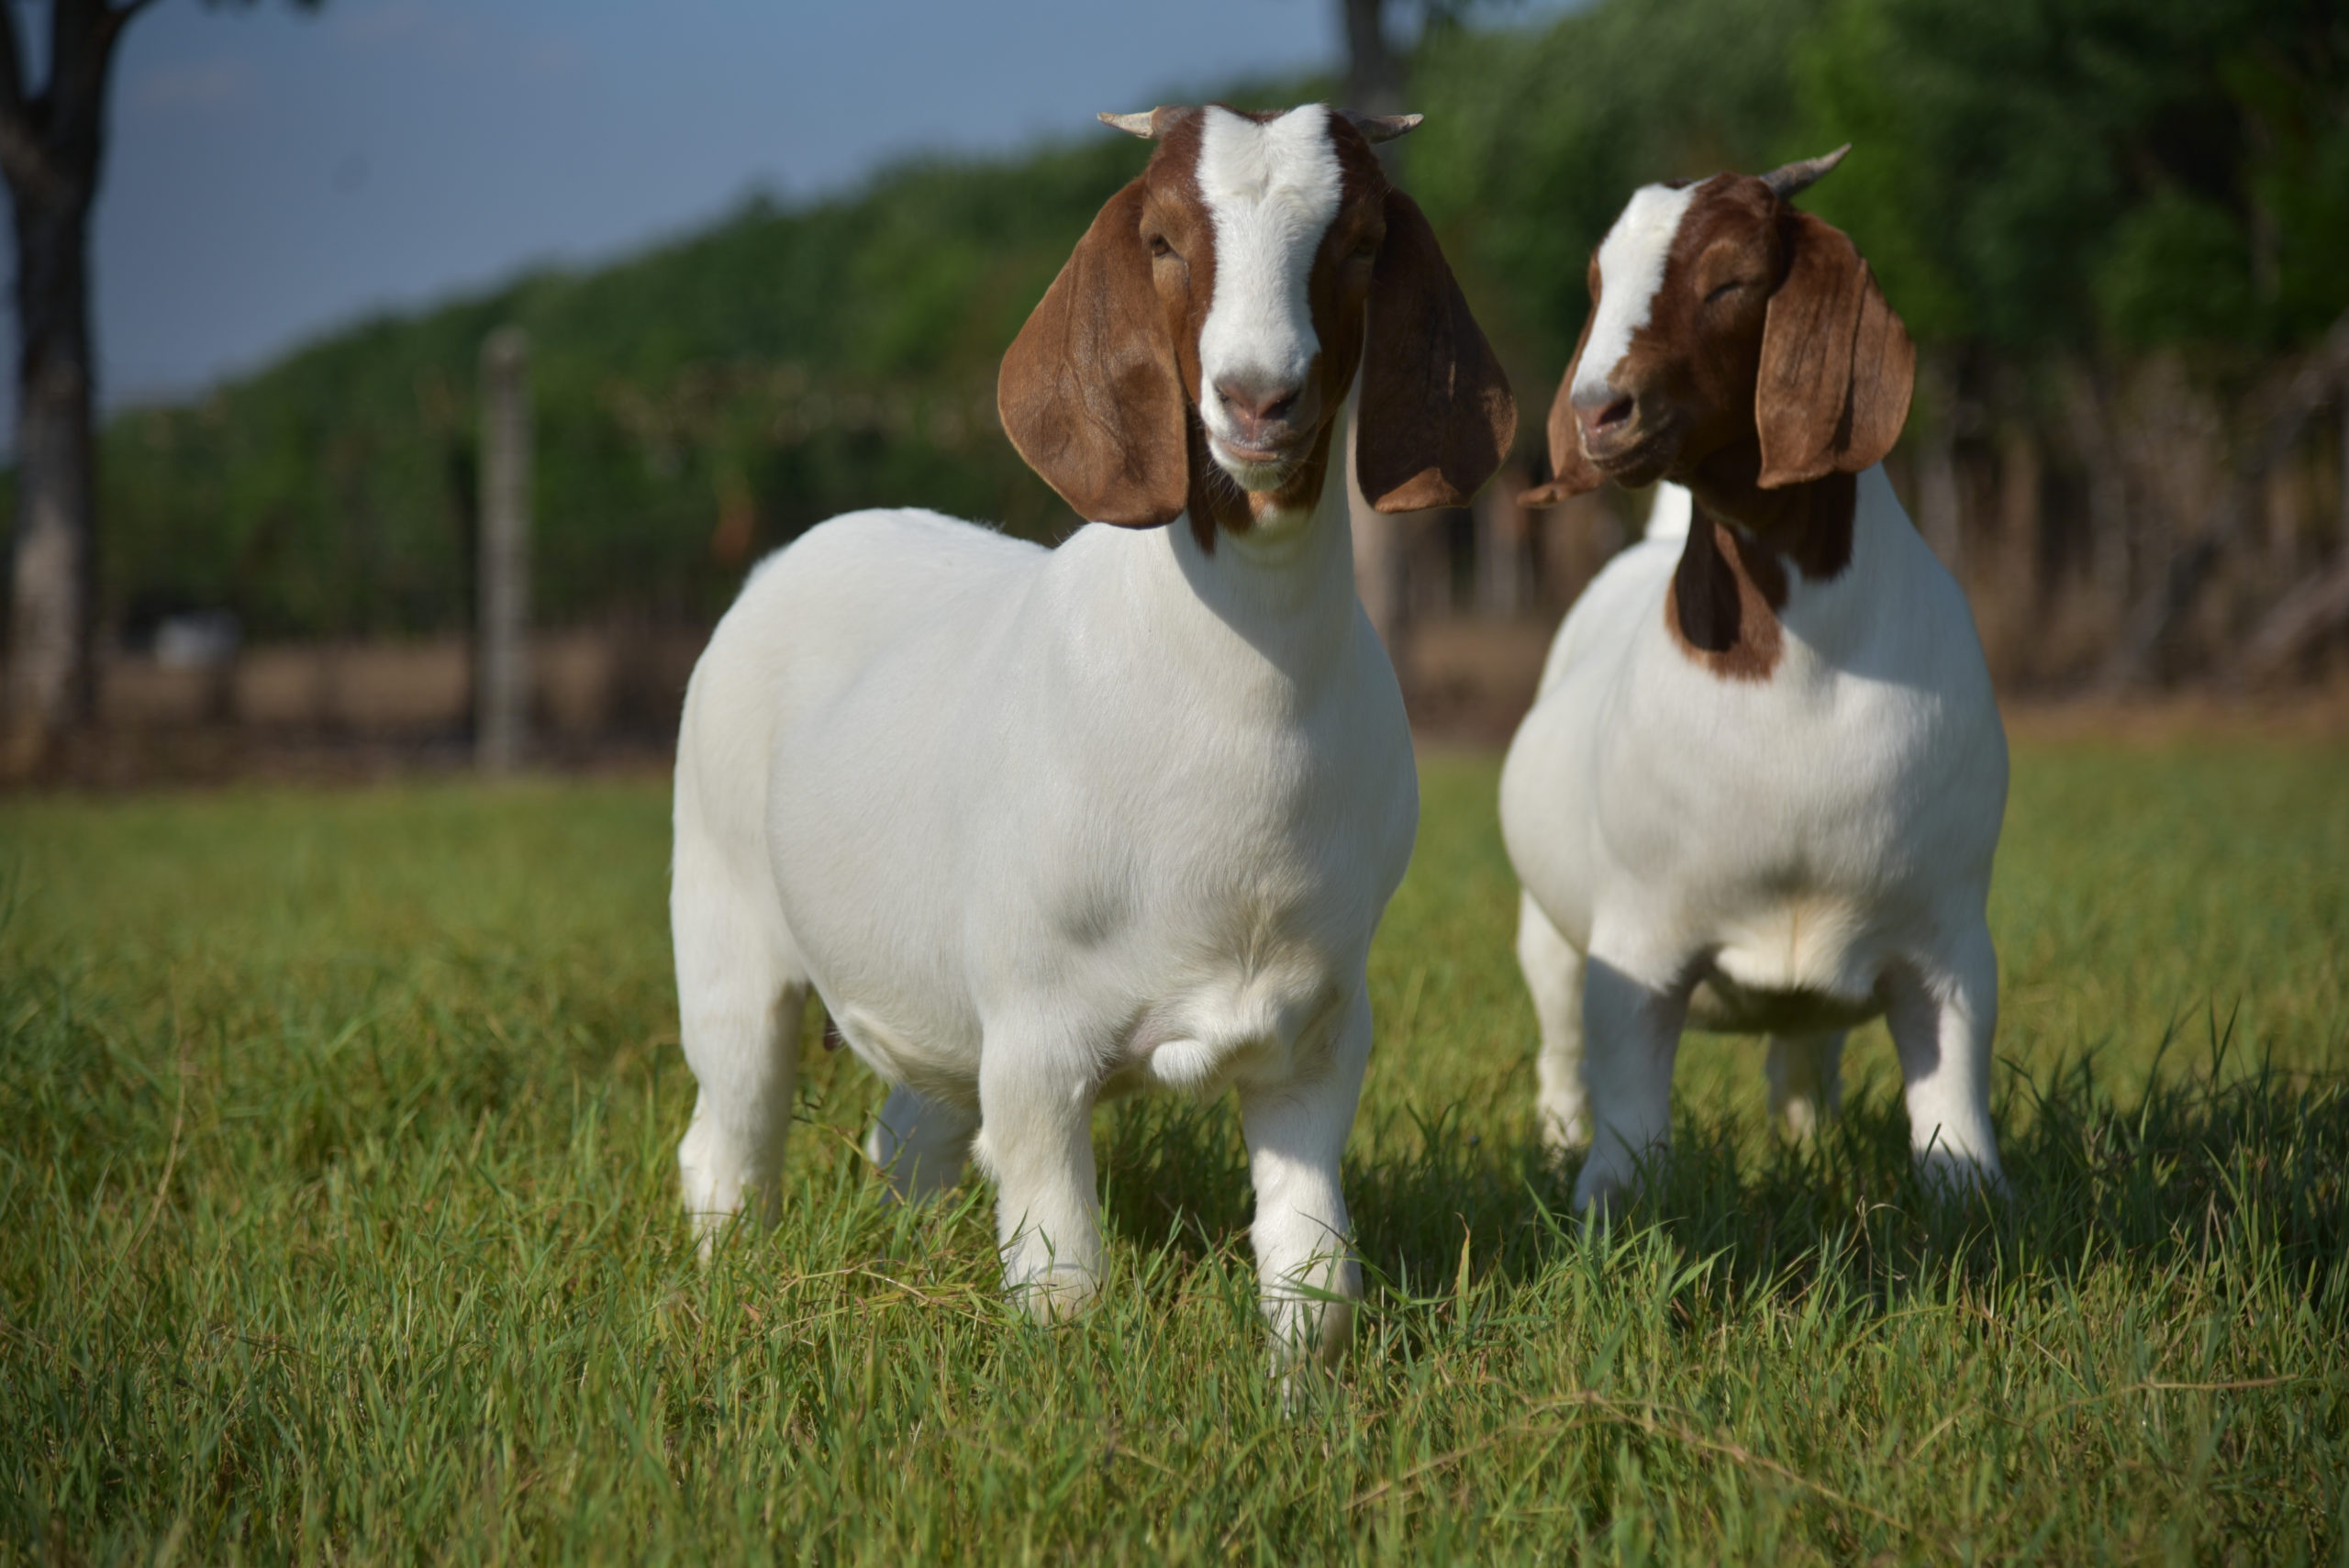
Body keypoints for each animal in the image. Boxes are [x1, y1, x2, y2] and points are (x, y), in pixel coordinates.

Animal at [670, 104, 1514, 1363]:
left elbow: (1315, 1280)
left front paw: (1302, 1396)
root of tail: (793, 551)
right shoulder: (1033, 1032)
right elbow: (1063, 1282)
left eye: (1362, 240)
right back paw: (727, 1279)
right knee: (728, 1129)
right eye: (1160, 238)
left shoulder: (1320, 1027)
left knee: (909, 1131)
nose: (1258, 399)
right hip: (723, 914)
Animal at [1501, 148, 2008, 1213]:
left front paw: (1976, 1205)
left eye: (1730, 278)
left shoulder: (1945, 934)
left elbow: (1952, 1091)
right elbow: (1627, 1103)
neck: (1795, 673)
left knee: (1803, 1052)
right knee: (1562, 1046)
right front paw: (1604, 1208)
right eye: (1597, 283)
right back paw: (1559, 1144)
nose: (1597, 411)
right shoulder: (1638, 939)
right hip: (1546, 927)